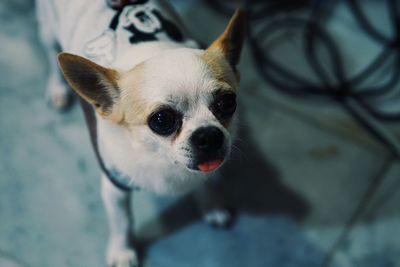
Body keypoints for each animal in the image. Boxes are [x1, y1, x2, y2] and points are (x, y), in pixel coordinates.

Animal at [37, 0, 245, 266]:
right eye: (161, 120)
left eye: (228, 103)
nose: (208, 135)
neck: (162, 160)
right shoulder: (115, 189)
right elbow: (122, 223)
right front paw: (122, 251)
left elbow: (206, 183)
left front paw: (211, 205)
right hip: (47, 26)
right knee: (50, 52)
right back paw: (56, 88)